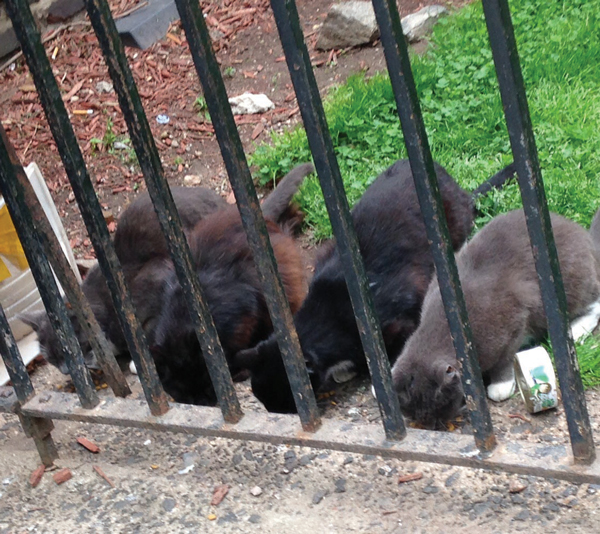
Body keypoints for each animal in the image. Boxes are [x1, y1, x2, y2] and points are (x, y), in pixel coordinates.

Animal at [392, 209, 600, 432]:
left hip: (573, 283)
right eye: (414, 412)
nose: (429, 423)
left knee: (594, 302)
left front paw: (501, 385)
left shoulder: (515, 323)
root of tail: (586, 237)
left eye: (439, 406)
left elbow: (505, 358)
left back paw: (577, 329)